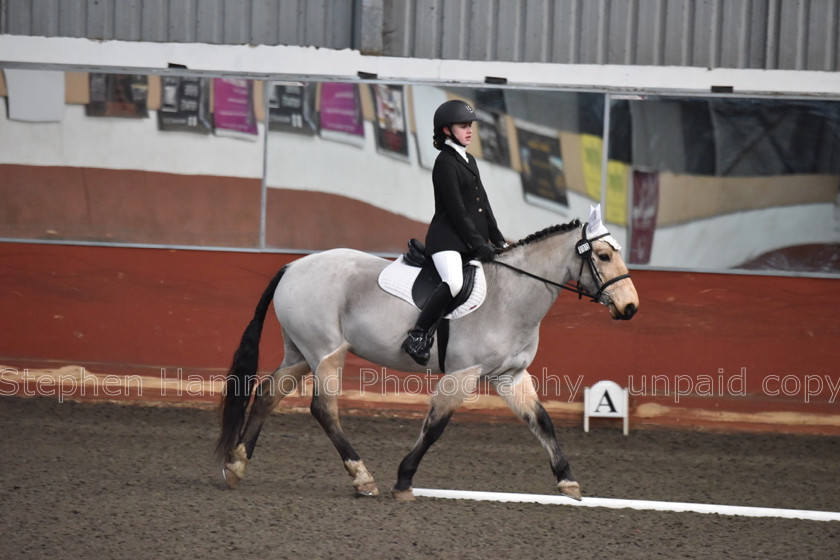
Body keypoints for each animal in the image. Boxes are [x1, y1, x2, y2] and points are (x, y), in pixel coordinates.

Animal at [215, 212, 636, 500]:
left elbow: (542, 421)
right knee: (323, 409)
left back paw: (237, 464)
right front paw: (403, 480)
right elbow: (435, 427)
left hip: (302, 352)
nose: (630, 307)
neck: (511, 295)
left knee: (268, 393)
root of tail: (292, 265)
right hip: (326, 352)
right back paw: (362, 477)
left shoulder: (510, 375)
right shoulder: (463, 373)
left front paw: (568, 481)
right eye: (602, 255)